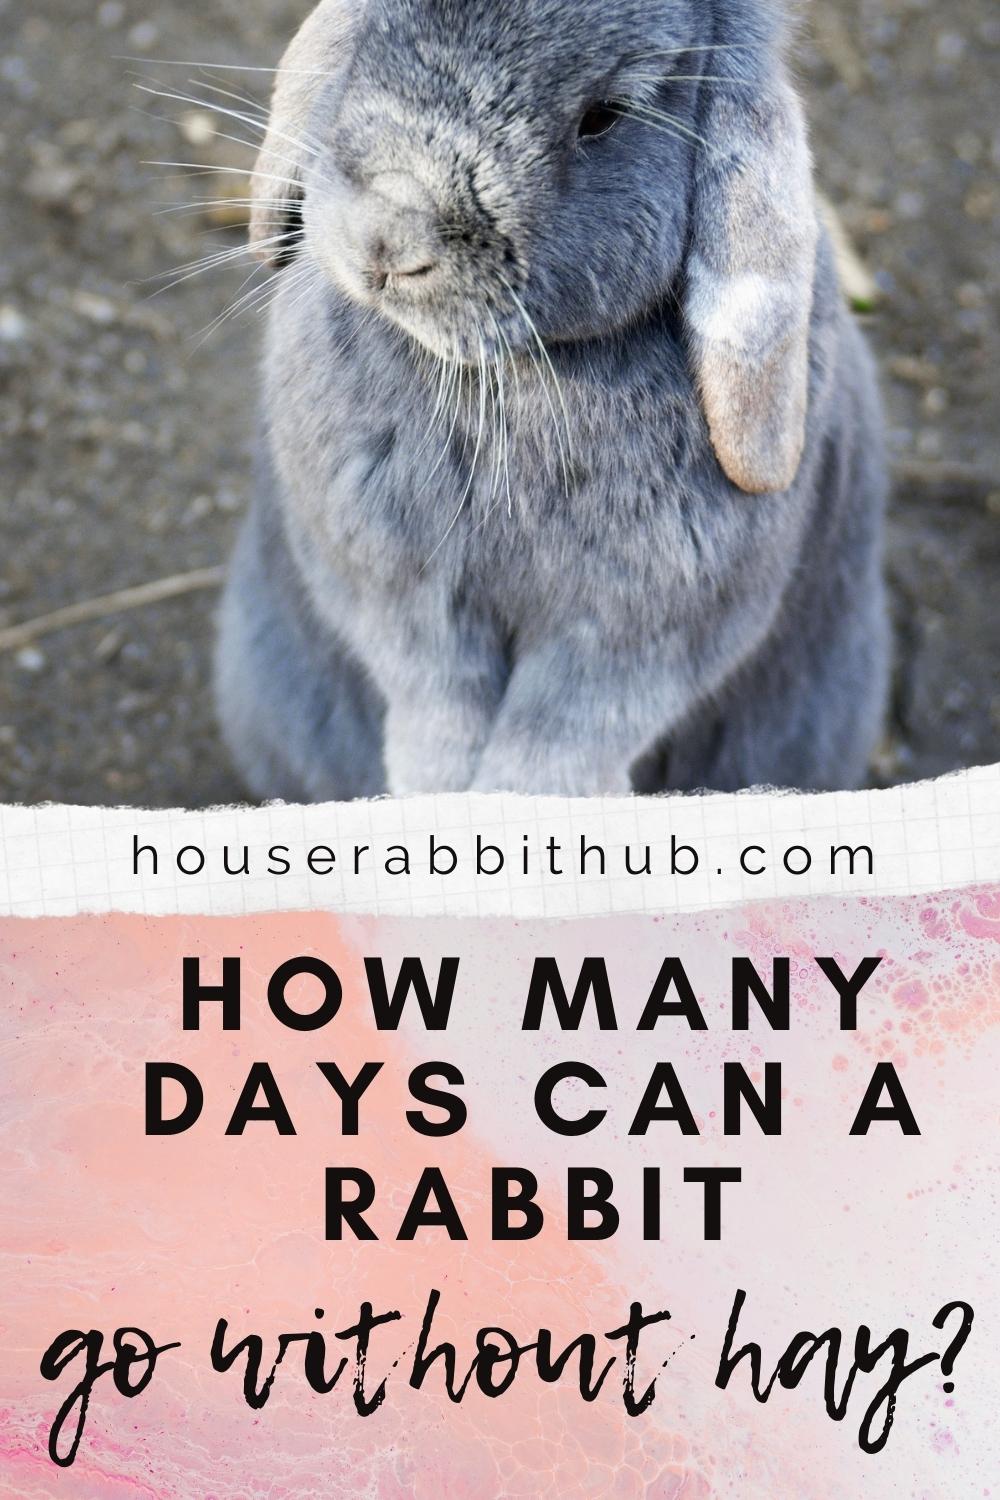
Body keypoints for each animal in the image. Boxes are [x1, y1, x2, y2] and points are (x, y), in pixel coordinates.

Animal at [215, 0, 890, 800]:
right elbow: (436, 695)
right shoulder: (399, 591)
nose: (386, 237)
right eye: (375, 35)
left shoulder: (639, 633)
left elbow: (561, 735)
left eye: (603, 118)